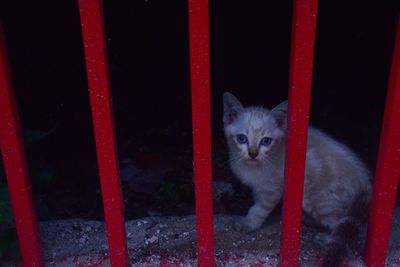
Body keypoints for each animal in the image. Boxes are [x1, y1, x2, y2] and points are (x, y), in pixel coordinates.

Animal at [222, 92, 372, 267]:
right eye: (242, 139)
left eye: (266, 141)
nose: (253, 153)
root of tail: (365, 182)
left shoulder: (272, 189)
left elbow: (259, 208)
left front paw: (248, 223)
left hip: (318, 198)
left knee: (340, 222)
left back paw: (325, 239)